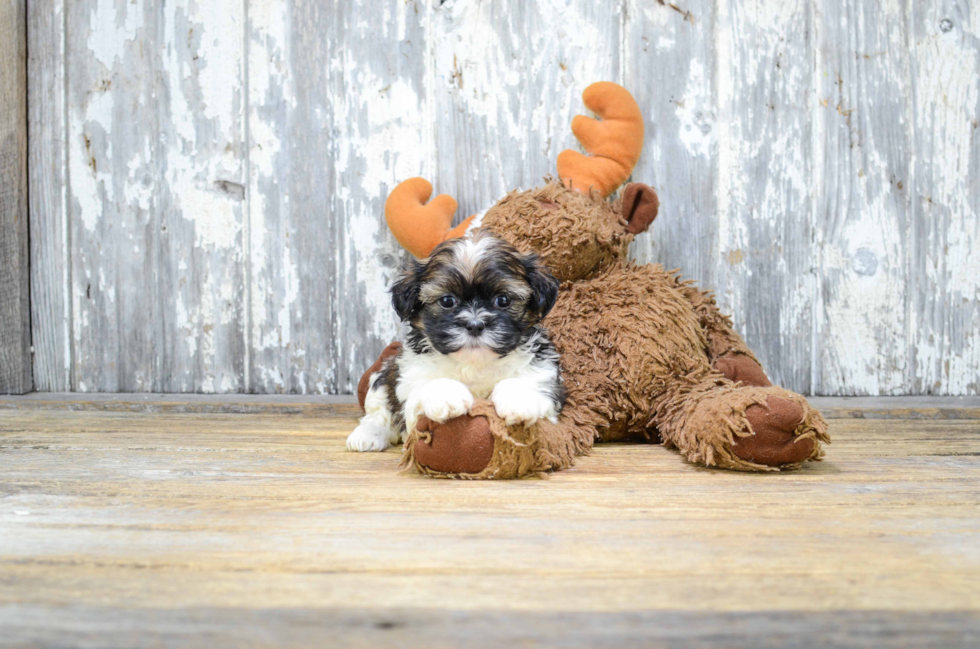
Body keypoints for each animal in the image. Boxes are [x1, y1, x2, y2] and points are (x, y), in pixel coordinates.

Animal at [350, 232, 568, 450]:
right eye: (447, 301)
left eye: (503, 300)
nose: (475, 325)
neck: (474, 364)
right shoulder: (411, 381)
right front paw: (446, 394)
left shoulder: (544, 374)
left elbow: (528, 382)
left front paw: (519, 398)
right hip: (382, 378)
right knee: (378, 413)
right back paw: (368, 434)